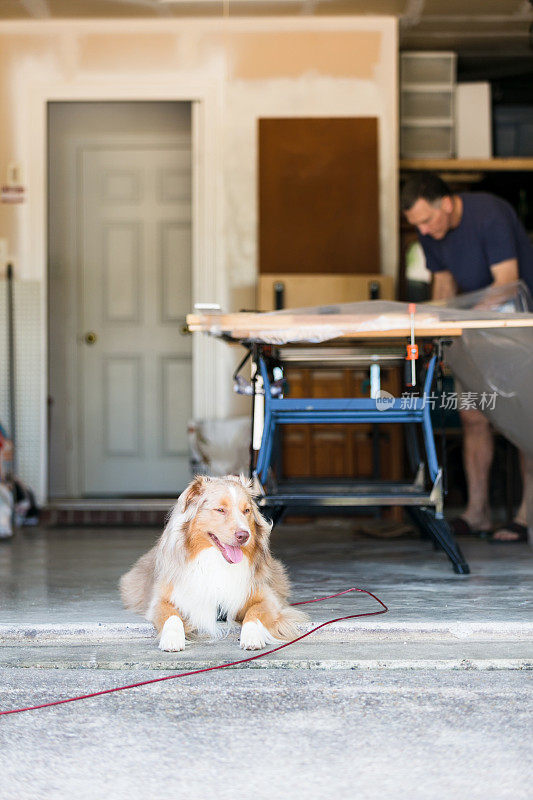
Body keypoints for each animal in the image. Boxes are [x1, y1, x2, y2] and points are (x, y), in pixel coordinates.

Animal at [118, 476, 306, 648]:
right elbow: (171, 617)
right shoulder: (161, 599)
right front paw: (172, 639)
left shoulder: (267, 598)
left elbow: (254, 613)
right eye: (220, 510)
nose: (244, 535)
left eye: (246, 510)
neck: (216, 561)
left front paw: (252, 636)